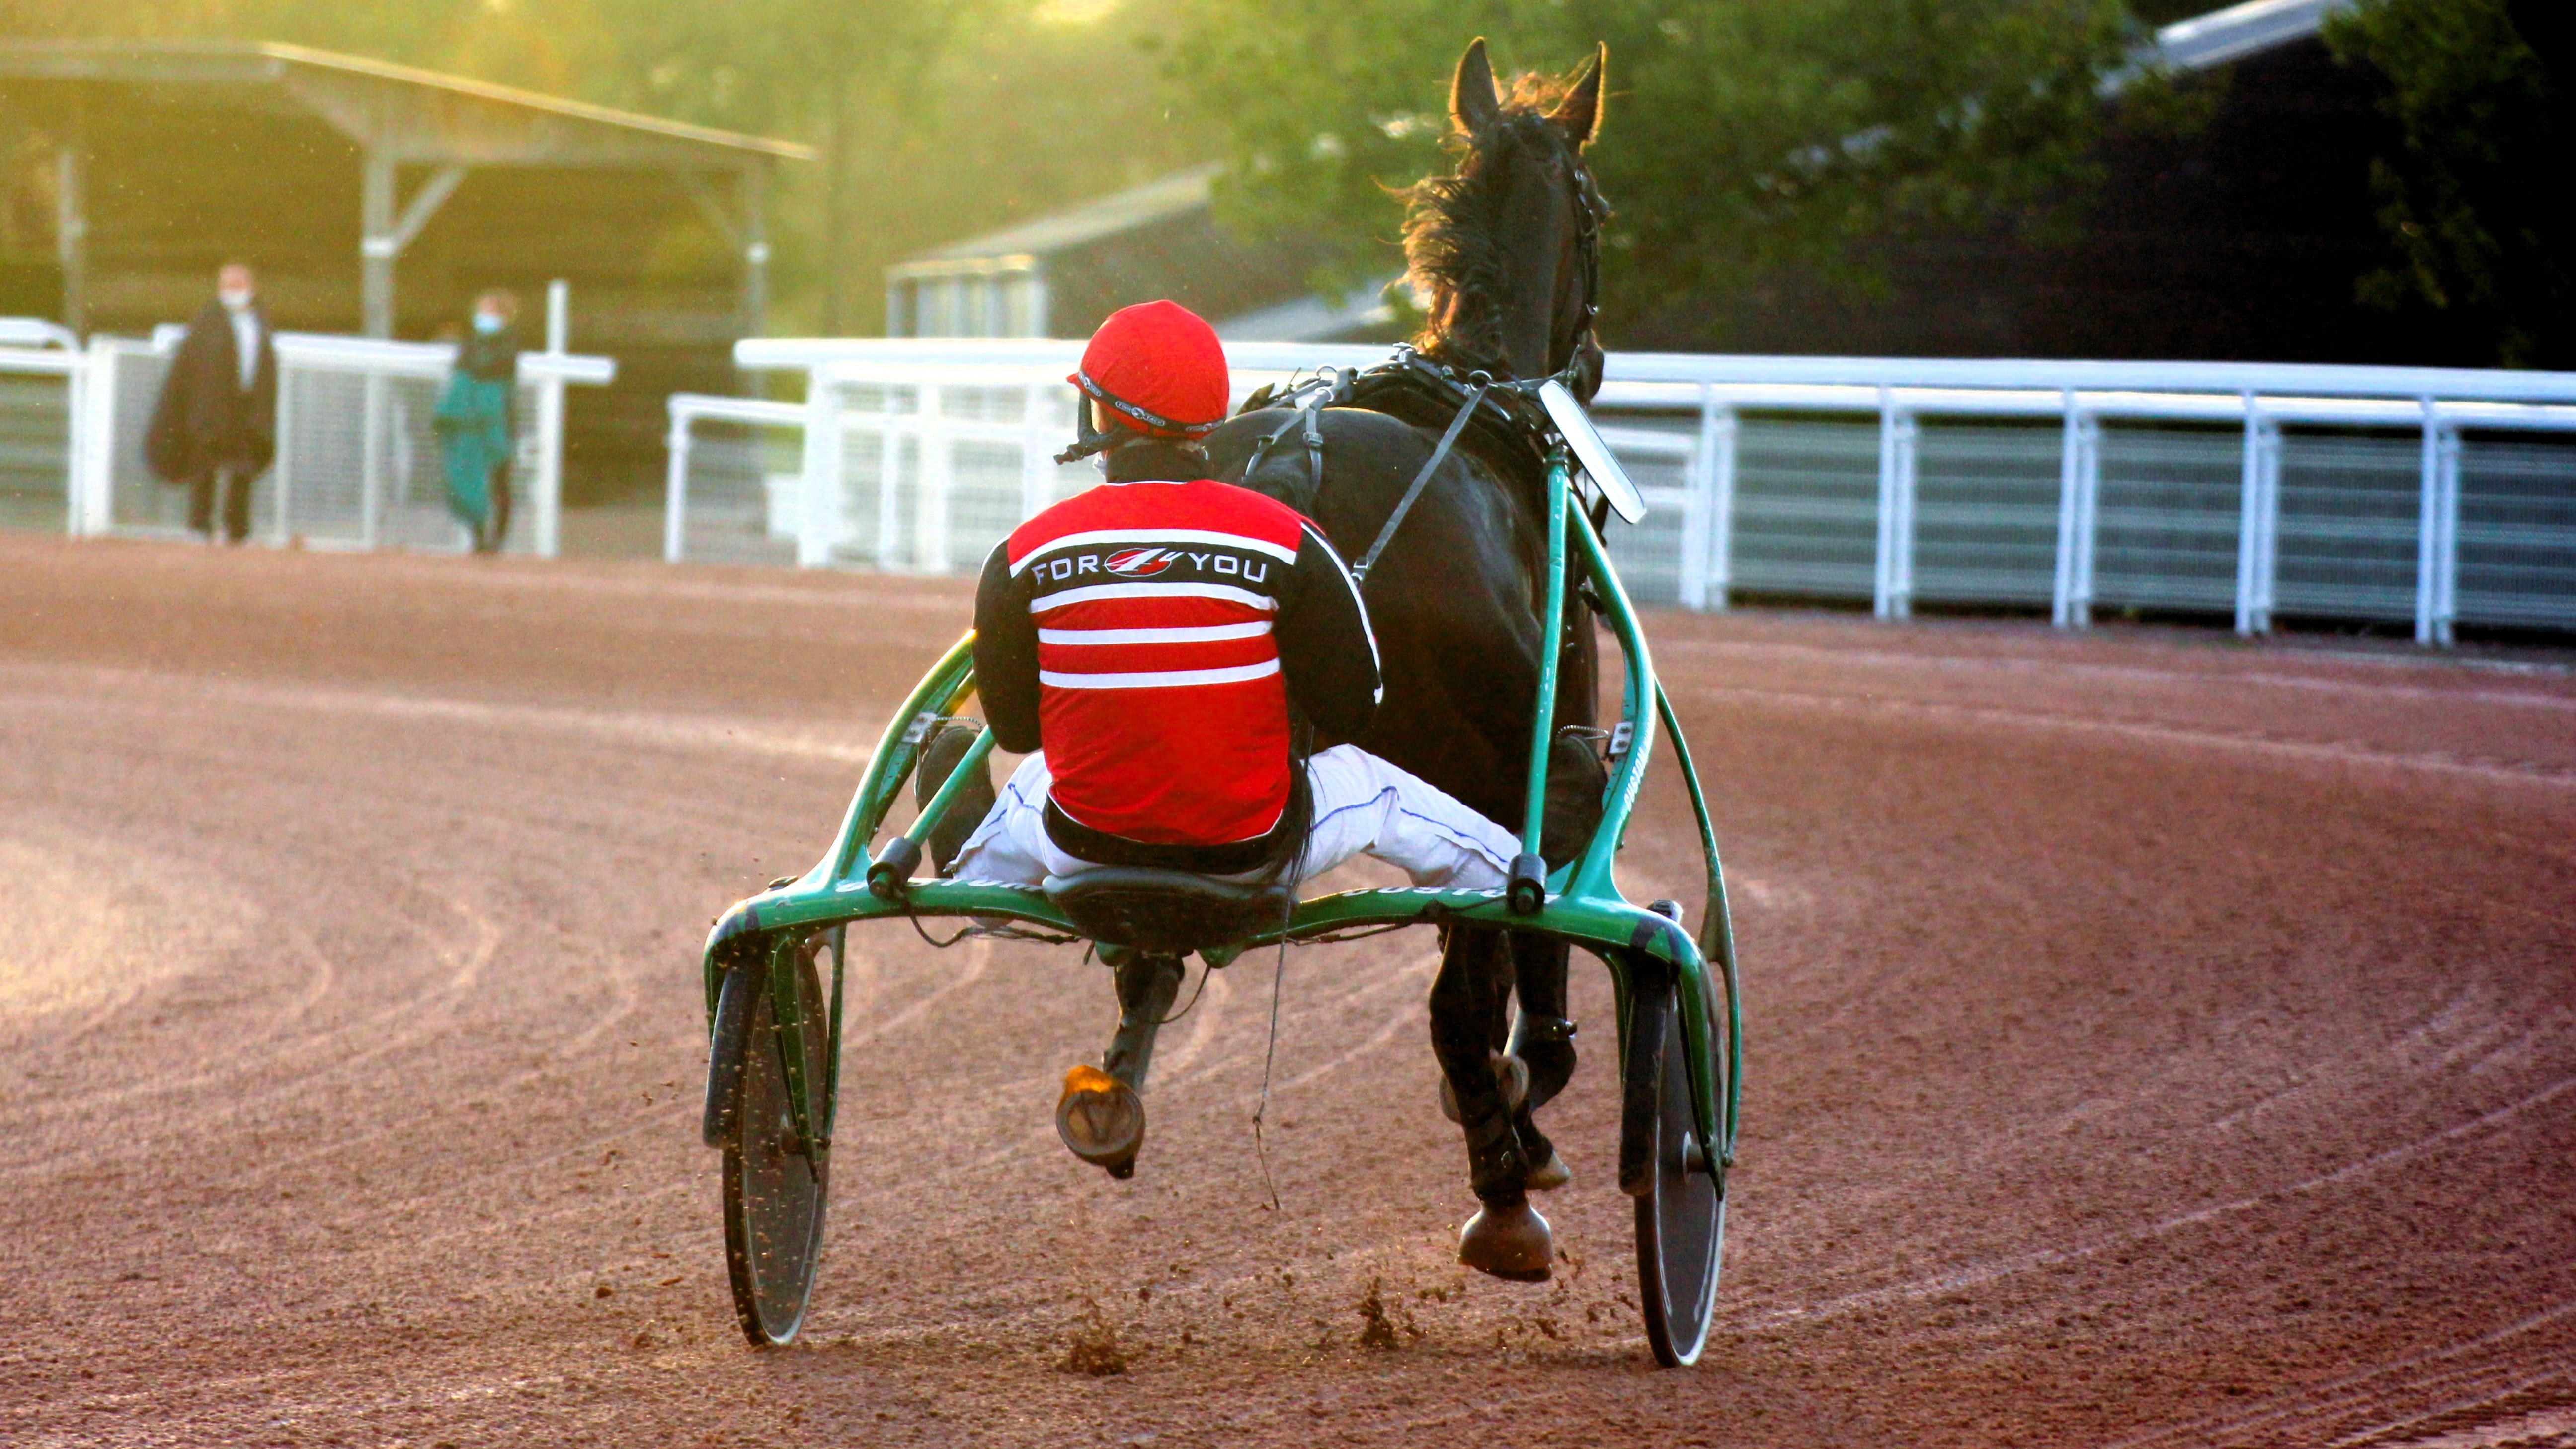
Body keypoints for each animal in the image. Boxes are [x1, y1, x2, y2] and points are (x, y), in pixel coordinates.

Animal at [1206, 36, 1607, 1274]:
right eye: (1602, 207)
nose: (1596, 362)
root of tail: (1299, 477)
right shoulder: (1535, 745)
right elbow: (1513, 975)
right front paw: (1519, 1123)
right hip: (1484, 753)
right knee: (1470, 986)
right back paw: (1506, 1182)